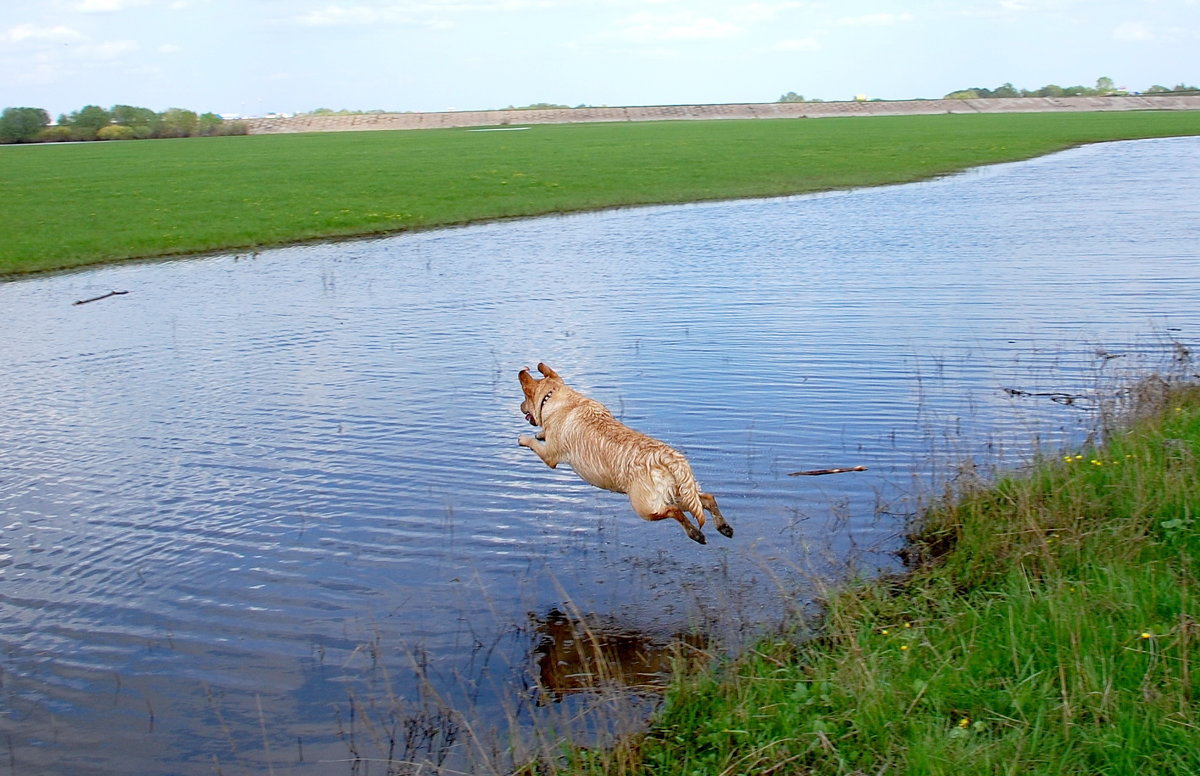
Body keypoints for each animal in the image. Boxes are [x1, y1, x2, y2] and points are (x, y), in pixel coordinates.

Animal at [516, 367, 729, 544]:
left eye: (525, 398)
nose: (520, 406)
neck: (558, 399)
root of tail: (666, 457)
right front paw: (540, 433)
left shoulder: (550, 456)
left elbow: (534, 443)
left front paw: (524, 438)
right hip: (679, 493)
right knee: (707, 499)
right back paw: (724, 527)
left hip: (645, 506)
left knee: (673, 512)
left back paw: (696, 534)